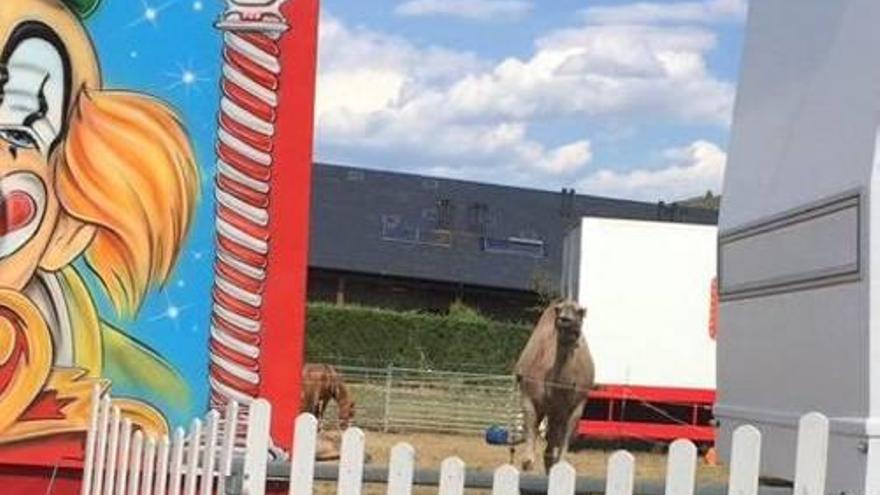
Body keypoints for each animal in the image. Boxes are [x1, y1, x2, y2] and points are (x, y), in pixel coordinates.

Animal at [512, 298, 596, 472]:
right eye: (559, 310)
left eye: (580, 312)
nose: (564, 319)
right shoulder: (529, 398)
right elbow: (527, 461)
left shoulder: (575, 406)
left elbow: (561, 456)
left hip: (557, 414)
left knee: (550, 450)